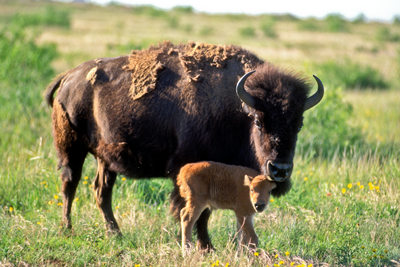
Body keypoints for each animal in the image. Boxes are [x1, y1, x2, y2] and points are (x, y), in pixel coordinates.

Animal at [45, 40, 324, 250]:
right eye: (258, 120)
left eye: (298, 124)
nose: (280, 170)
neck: (235, 108)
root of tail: (68, 76)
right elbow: (199, 213)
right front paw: (205, 247)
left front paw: (206, 246)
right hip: (71, 148)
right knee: (70, 184)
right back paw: (67, 230)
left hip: (105, 158)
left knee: (101, 191)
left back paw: (116, 234)